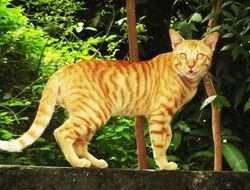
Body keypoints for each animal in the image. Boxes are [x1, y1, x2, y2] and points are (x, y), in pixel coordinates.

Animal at [0, 29, 219, 169]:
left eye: (199, 56)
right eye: (183, 55)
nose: (190, 66)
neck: (185, 79)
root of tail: (61, 70)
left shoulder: (165, 117)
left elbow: (169, 136)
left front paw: (165, 153)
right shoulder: (159, 114)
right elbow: (158, 143)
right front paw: (164, 164)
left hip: (90, 116)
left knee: (79, 143)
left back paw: (96, 163)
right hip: (93, 112)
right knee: (61, 133)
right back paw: (77, 163)